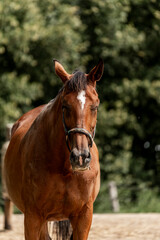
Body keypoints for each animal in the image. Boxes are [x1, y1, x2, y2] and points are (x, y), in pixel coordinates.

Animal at [4, 58, 104, 240]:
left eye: (95, 106)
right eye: (65, 106)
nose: (80, 157)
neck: (64, 169)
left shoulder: (84, 216)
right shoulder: (33, 217)